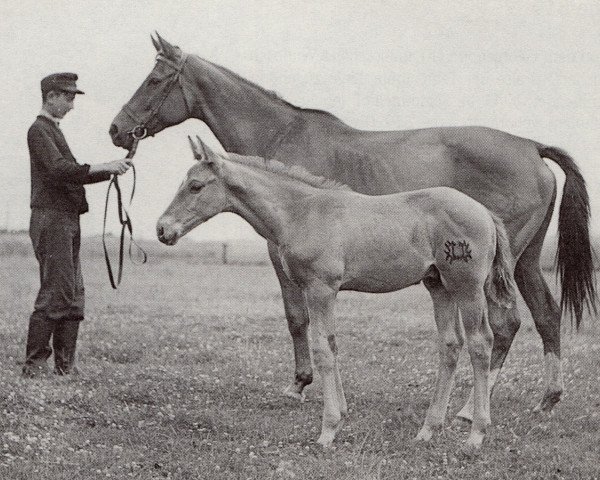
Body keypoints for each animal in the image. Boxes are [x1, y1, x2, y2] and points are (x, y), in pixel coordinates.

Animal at [157, 136, 512, 450]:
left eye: (195, 186)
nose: (162, 229)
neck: (299, 212)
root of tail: (485, 212)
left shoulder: (320, 289)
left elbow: (322, 349)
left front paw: (327, 430)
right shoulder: (322, 292)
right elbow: (331, 343)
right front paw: (340, 415)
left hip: (467, 287)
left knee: (481, 343)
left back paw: (476, 434)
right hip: (439, 286)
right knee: (450, 345)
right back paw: (427, 430)